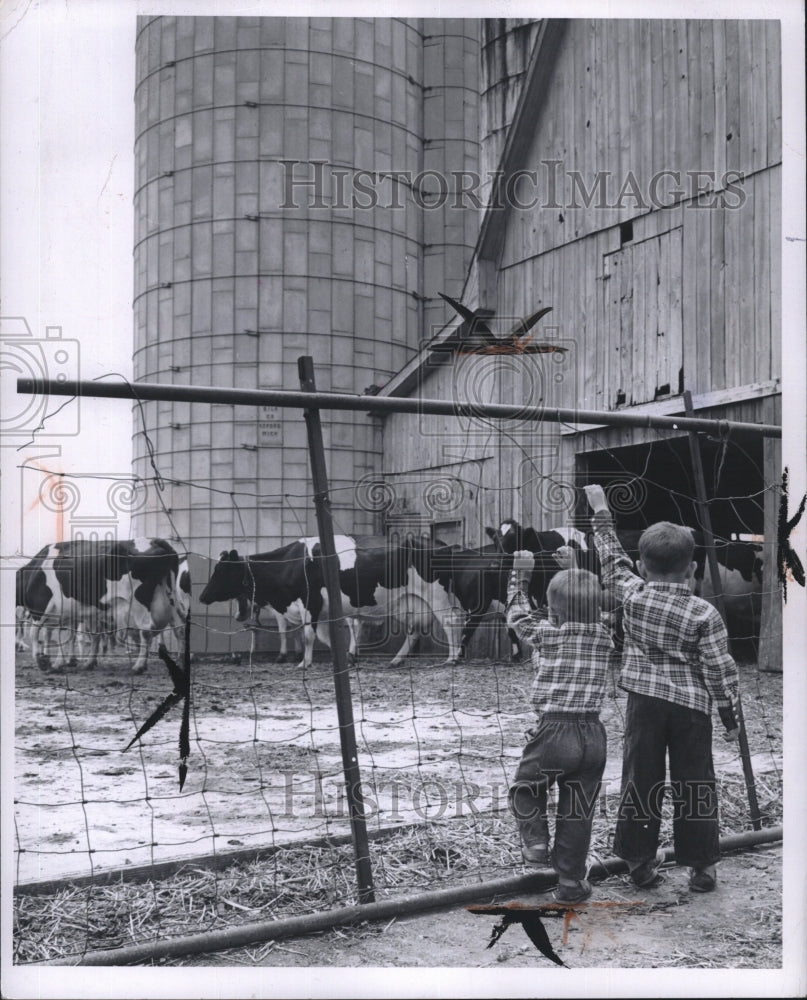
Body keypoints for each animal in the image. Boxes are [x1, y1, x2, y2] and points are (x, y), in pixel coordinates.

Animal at [18, 540, 192, 672]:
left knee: (146, 631)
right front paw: (80, 662)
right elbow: (75, 636)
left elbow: (35, 633)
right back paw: (181, 661)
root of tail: (156, 541)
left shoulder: (40, 607)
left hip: (139, 602)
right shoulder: (72, 614)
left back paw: (139, 666)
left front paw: (43, 661)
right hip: (171, 599)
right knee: (179, 629)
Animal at [198, 536, 460, 668]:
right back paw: (397, 660)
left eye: (221, 570)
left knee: (451, 622)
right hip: (409, 604)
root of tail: (440, 544)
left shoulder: (310, 603)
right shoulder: (319, 610)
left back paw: (452, 658)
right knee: (415, 631)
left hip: (437, 597)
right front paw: (346, 658)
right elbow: (325, 637)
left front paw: (304, 663)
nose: (202, 596)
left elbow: (308, 636)